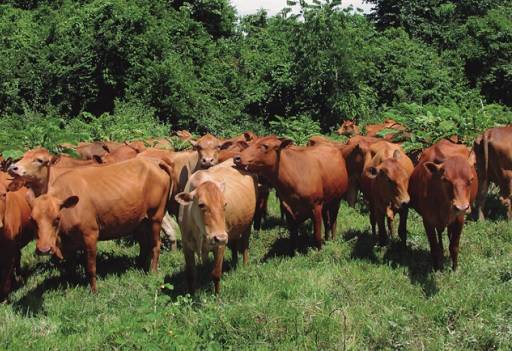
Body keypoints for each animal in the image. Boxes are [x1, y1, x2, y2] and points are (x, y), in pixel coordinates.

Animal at [29, 158, 173, 292]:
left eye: (57, 218)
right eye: (33, 220)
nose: (44, 249)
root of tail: (154, 161)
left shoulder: (91, 234)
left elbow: (91, 267)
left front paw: (94, 291)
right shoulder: (69, 243)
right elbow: (71, 267)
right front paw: (72, 284)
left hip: (156, 216)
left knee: (155, 245)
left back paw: (152, 272)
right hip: (140, 221)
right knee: (144, 244)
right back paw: (139, 266)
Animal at [176, 160, 258, 294]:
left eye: (224, 204)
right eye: (201, 205)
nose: (220, 237)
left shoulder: (220, 246)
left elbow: (216, 273)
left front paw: (217, 295)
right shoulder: (186, 246)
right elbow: (191, 274)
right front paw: (192, 295)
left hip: (248, 223)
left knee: (245, 245)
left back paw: (245, 265)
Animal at [406, 140, 478, 270]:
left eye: (471, 179)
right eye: (445, 180)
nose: (461, 207)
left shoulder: (459, 219)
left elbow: (454, 246)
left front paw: (454, 268)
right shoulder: (428, 220)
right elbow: (433, 246)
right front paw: (436, 268)